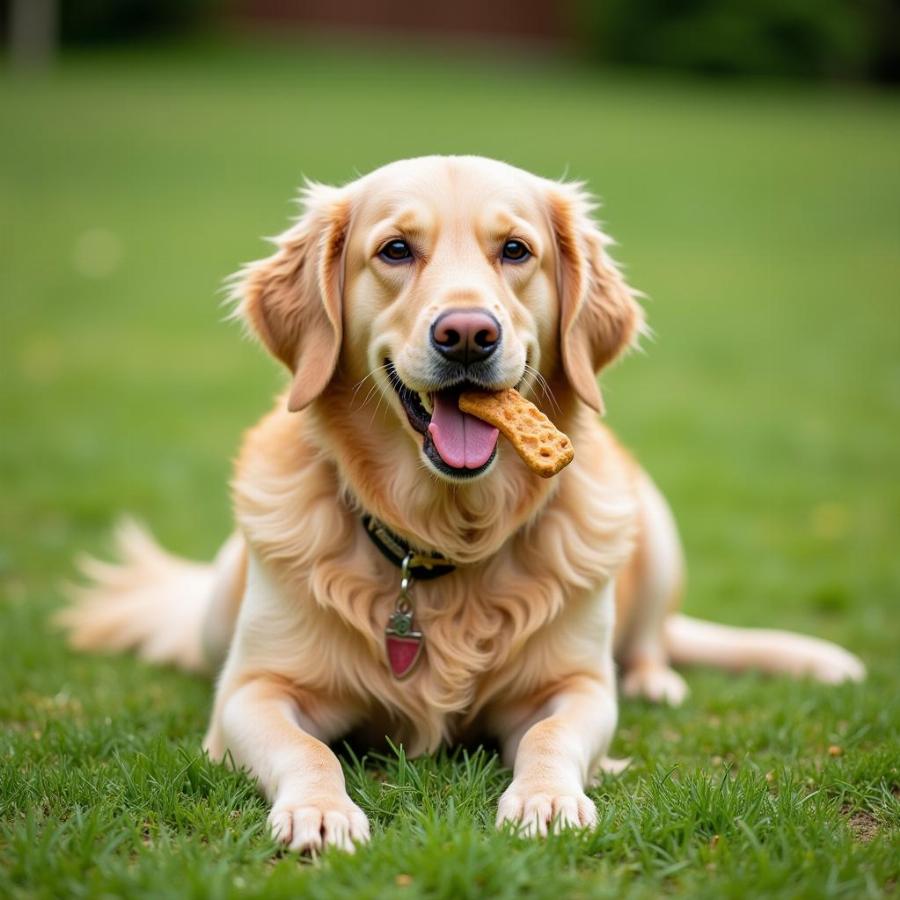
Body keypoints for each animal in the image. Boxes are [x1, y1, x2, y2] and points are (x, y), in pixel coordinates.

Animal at [59, 153, 868, 852]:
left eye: (515, 250)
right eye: (394, 251)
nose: (469, 334)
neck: (442, 538)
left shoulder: (577, 686)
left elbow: (549, 734)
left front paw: (547, 799)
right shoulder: (251, 691)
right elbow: (306, 748)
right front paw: (321, 812)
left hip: (656, 528)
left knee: (650, 640)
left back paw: (656, 679)